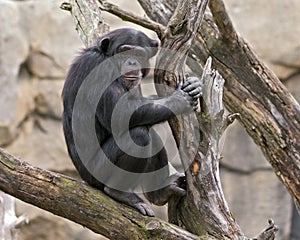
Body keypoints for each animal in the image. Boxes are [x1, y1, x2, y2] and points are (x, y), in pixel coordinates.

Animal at [62, 27, 203, 216]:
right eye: (125, 52)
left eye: (138, 54)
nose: (131, 62)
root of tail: (84, 178)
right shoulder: (99, 69)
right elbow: (122, 113)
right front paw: (180, 100)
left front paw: (194, 84)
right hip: (97, 172)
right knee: (138, 135)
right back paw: (120, 193)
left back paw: (160, 192)